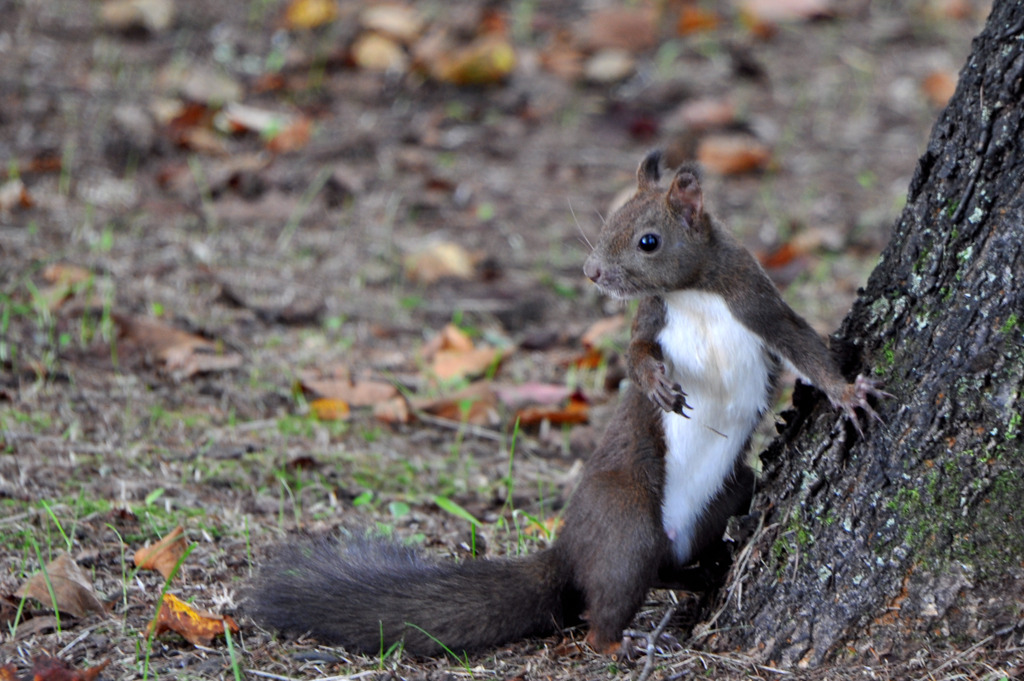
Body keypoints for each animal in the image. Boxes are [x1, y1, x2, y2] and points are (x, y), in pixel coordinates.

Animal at [249, 151, 888, 655]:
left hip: (727, 491)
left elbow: (807, 348)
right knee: (607, 603)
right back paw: (622, 641)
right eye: (607, 221)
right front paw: (657, 386)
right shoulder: (651, 319)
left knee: (668, 569)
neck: (693, 292)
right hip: (626, 520)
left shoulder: (758, 303)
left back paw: (700, 578)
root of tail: (569, 548)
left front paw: (848, 394)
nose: (591, 271)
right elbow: (635, 356)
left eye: (648, 240)